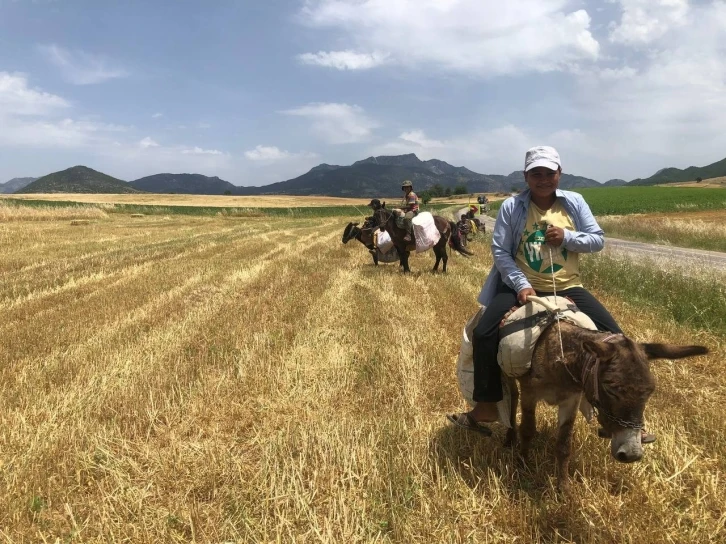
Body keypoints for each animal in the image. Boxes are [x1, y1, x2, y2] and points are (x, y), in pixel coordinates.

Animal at [506, 318, 712, 492]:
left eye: (650, 391)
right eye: (610, 388)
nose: (631, 454)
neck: (560, 357)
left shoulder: (571, 400)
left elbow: (564, 445)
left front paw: (563, 489)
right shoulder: (530, 394)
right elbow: (527, 430)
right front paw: (521, 468)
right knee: (512, 398)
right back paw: (509, 438)